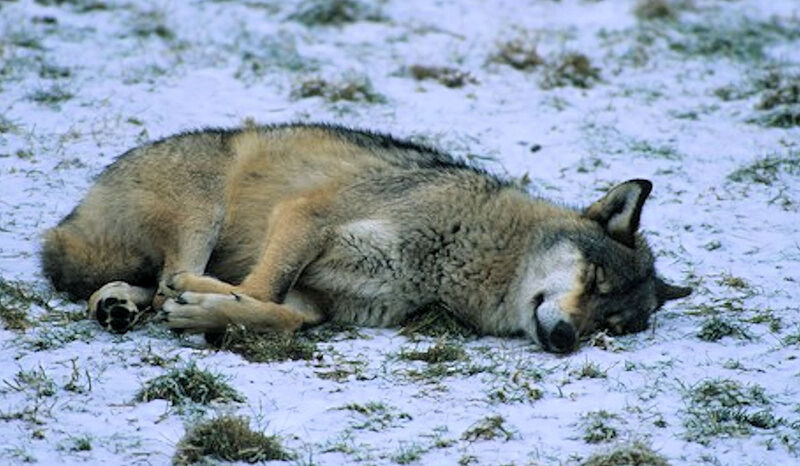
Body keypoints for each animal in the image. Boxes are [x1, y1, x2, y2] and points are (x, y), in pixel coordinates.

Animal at [41, 123, 690, 353]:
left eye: (611, 326)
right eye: (593, 281)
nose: (564, 341)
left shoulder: (323, 299)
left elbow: (284, 315)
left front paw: (214, 314)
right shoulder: (306, 217)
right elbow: (264, 291)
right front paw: (209, 306)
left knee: (145, 286)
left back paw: (119, 306)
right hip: (205, 209)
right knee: (168, 275)